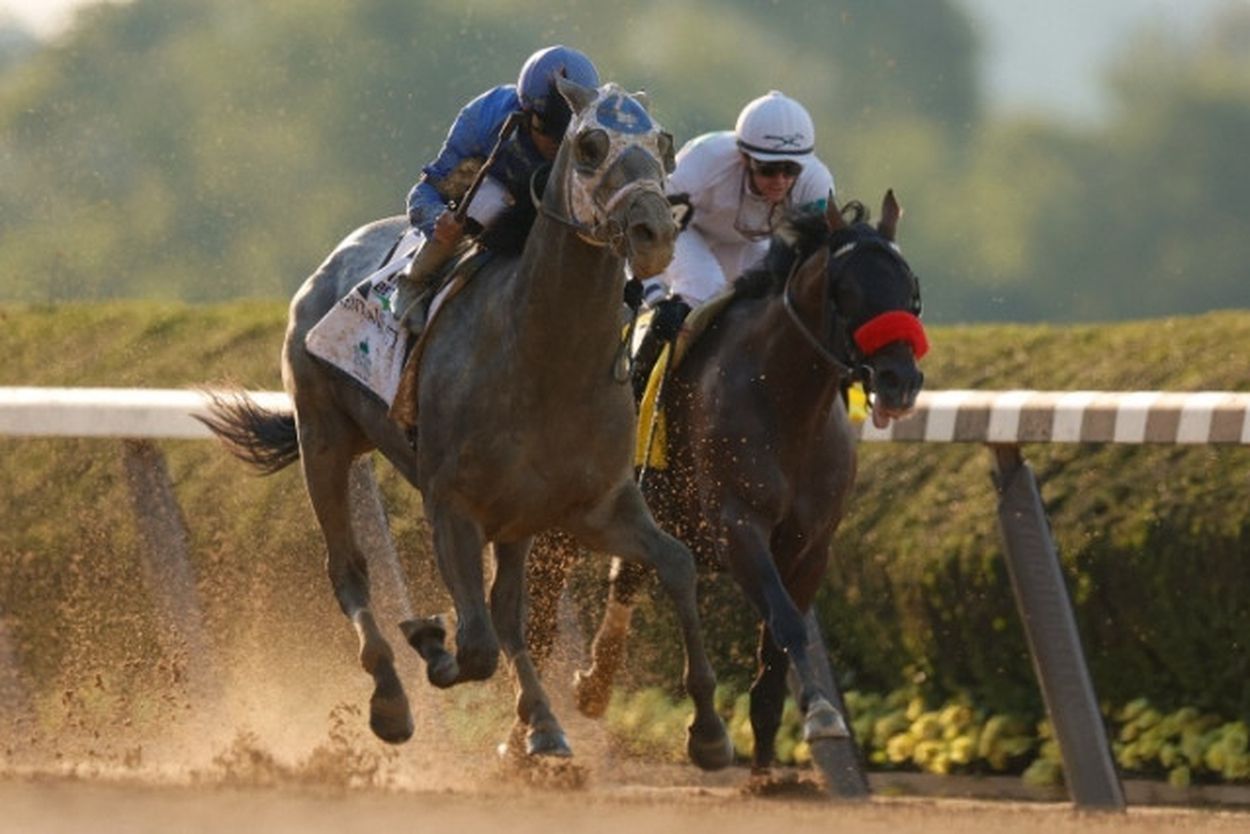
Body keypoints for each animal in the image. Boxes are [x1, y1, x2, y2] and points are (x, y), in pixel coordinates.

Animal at [195, 78, 730, 770]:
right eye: (590, 144)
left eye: (663, 143)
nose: (654, 232)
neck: (543, 357)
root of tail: (329, 264)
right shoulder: (451, 505)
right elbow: (472, 644)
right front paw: (428, 639)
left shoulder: (595, 505)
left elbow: (676, 564)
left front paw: (709, 729)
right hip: (324, 439)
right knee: (349, 571)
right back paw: (391, 700)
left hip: (517, 517)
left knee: (508, 612)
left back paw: (542, 724)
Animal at [527, 192, 930, 775]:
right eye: (846, 288)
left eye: (908, 286)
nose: (899, 380)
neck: (785, 404)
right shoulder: (739, 526)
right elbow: (786, 623)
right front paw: (816, 715)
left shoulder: (810, 547)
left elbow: (775, 654)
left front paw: (768, 769)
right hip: (566, 520)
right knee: (541, 614)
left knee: (627, 578)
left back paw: (595, 685)